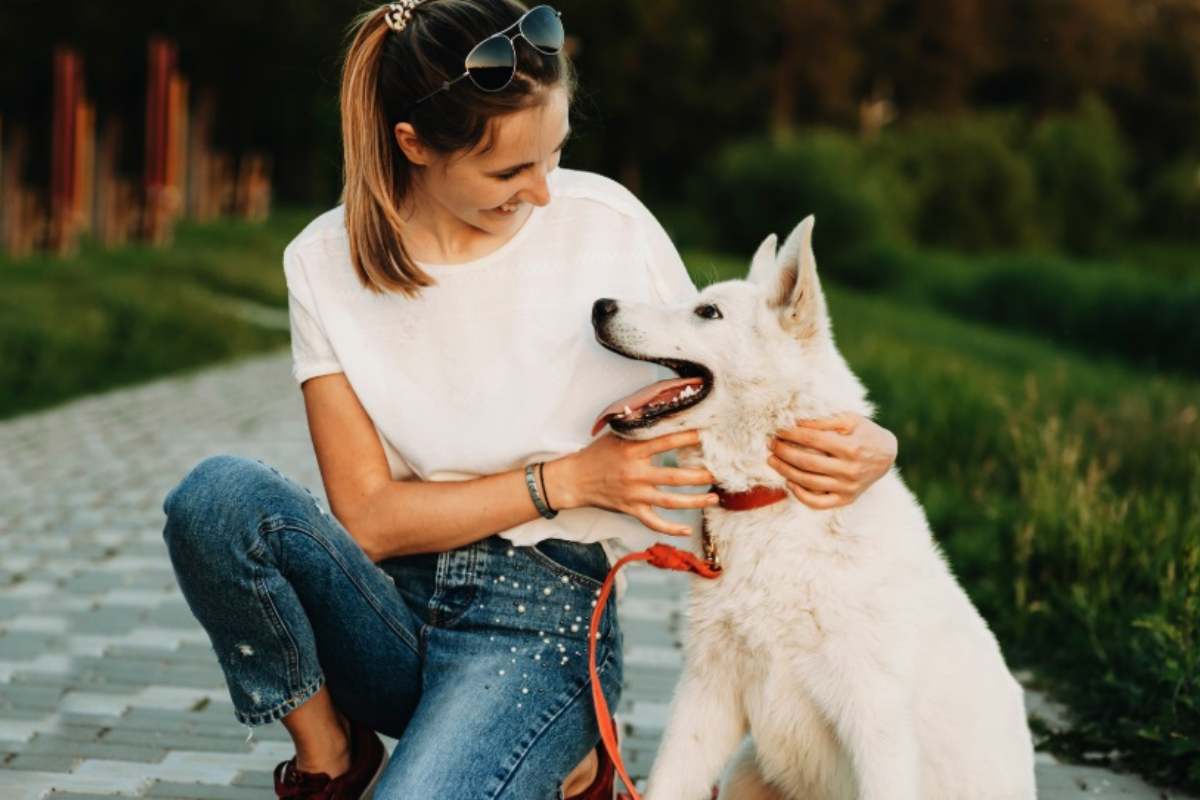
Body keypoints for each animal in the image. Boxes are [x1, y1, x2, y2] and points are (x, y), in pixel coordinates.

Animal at [585, 215, 1036, 796]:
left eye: (708, 312)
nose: (600, 306)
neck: (774, 500)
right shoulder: (706, 695)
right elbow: (667, 782)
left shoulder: (877, 728)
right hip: (745, 770)